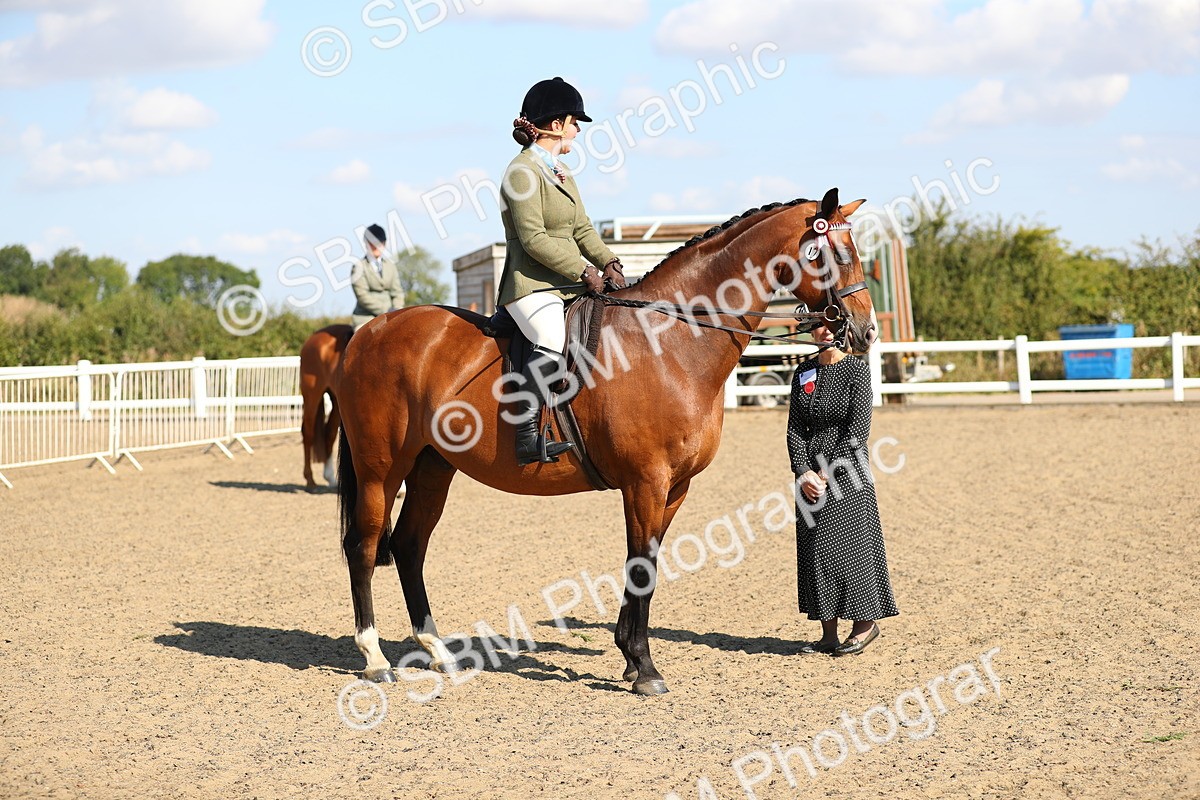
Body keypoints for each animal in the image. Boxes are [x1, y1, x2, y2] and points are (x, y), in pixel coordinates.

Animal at [299, 324, 352, 491]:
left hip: (336, 400)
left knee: (329, 433)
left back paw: (330, 479)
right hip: (312, 394)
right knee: (308, 433)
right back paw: (310, 480)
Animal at [334, 188, 876, 695]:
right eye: (831, 252)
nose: (865, 331)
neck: (671, 341)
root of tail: (367, 334)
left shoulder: (674, 488)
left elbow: (646, 565)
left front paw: (630, 659)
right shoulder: (644, 482)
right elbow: (641, 566)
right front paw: (645, 668)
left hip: (432, 467)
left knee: (409, 546)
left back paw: (438, 651)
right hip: (381, 470)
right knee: (363, 547)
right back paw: (375, 658)